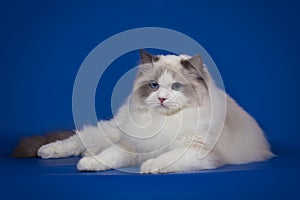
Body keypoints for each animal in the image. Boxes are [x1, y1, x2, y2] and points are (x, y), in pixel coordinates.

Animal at [12, 49, 274, 173]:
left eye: (176, 87)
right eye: (154, 85)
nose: (161, 98)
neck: (165, 122)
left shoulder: (196, 151)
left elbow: (166, 158)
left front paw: (149, 166)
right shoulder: (132, 145)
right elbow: (109, 156)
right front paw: (89, 165)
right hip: (112, 130)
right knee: (78, 140)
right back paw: (48, 151)